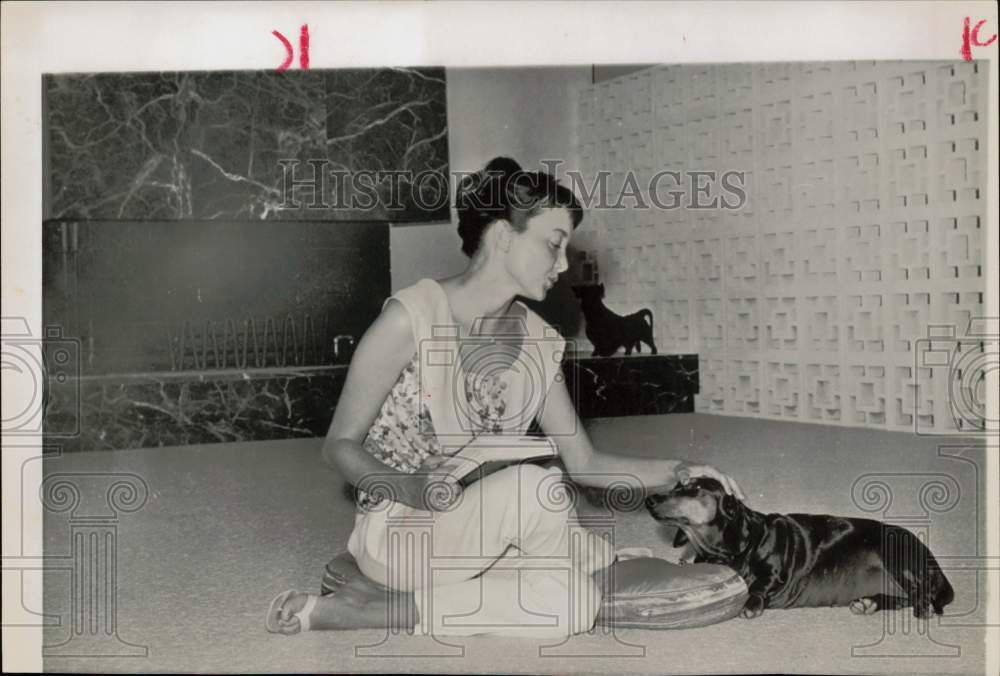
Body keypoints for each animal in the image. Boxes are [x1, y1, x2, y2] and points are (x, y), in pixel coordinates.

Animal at [644, 476, 956, 616]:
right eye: (676, 485)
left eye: (694, 488)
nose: (649, 500)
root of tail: (935, 565)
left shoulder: (776, 571)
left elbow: (760, 585)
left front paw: (751, 602)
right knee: (905, 598)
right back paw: (871, 602)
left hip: (897, 558)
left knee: (923, 598)